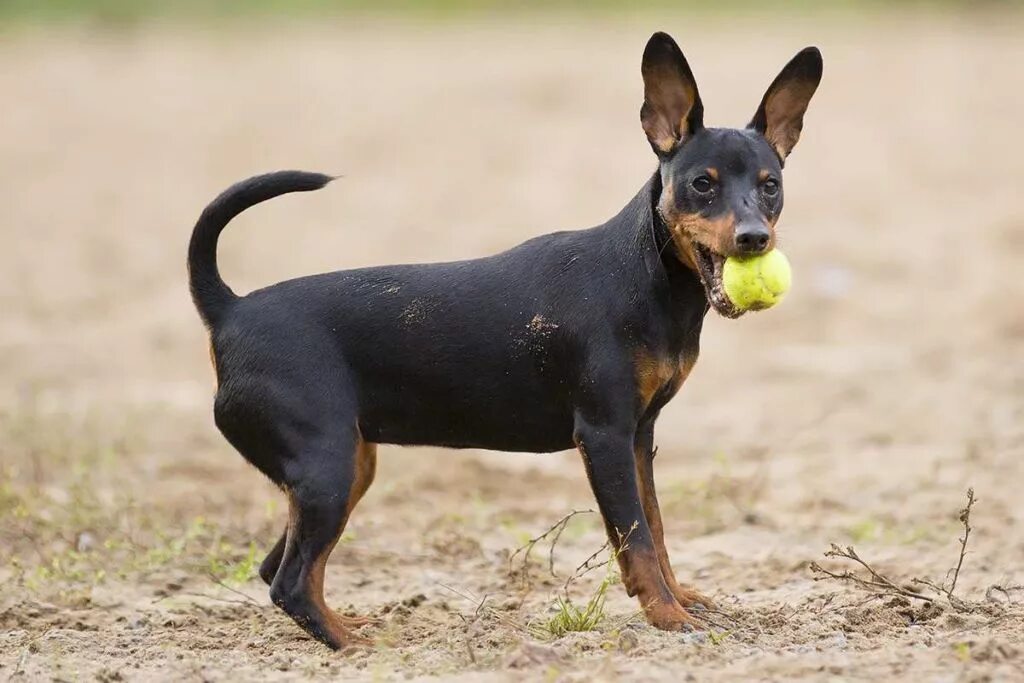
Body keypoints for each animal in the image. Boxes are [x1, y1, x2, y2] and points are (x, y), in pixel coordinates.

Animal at [186, 33, 823, 651]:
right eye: (701, 185)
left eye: (770, 186)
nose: (754, 238)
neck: (646, 277)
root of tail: (230, 310)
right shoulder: (604, 436)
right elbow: (637, 539)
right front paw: (669, 618)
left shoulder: (640, 437)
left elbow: (658, 531)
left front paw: (680, 598)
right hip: (327, 468)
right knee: (290, 581)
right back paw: (354, 645)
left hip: (346, 467)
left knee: (278, 569)